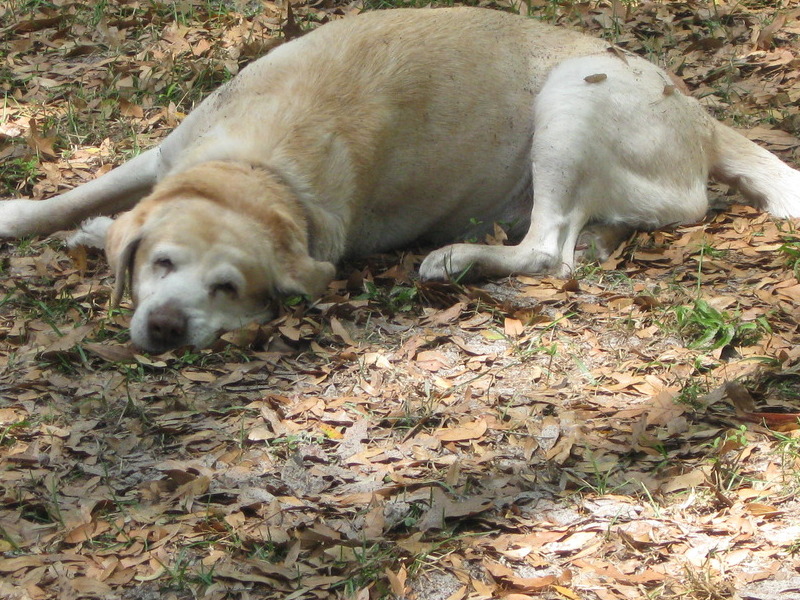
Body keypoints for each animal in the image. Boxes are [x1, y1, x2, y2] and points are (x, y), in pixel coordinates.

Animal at [4, 8, 800, 352]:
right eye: (162, 265)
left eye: (228, 288)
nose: (168, 327)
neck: (258, 168)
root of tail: (703, 115)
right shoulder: (161, 158)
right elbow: (79, 196)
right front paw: (74, 221)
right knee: (589, 240)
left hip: (572, 95)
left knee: (551, 250)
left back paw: (457, 259)